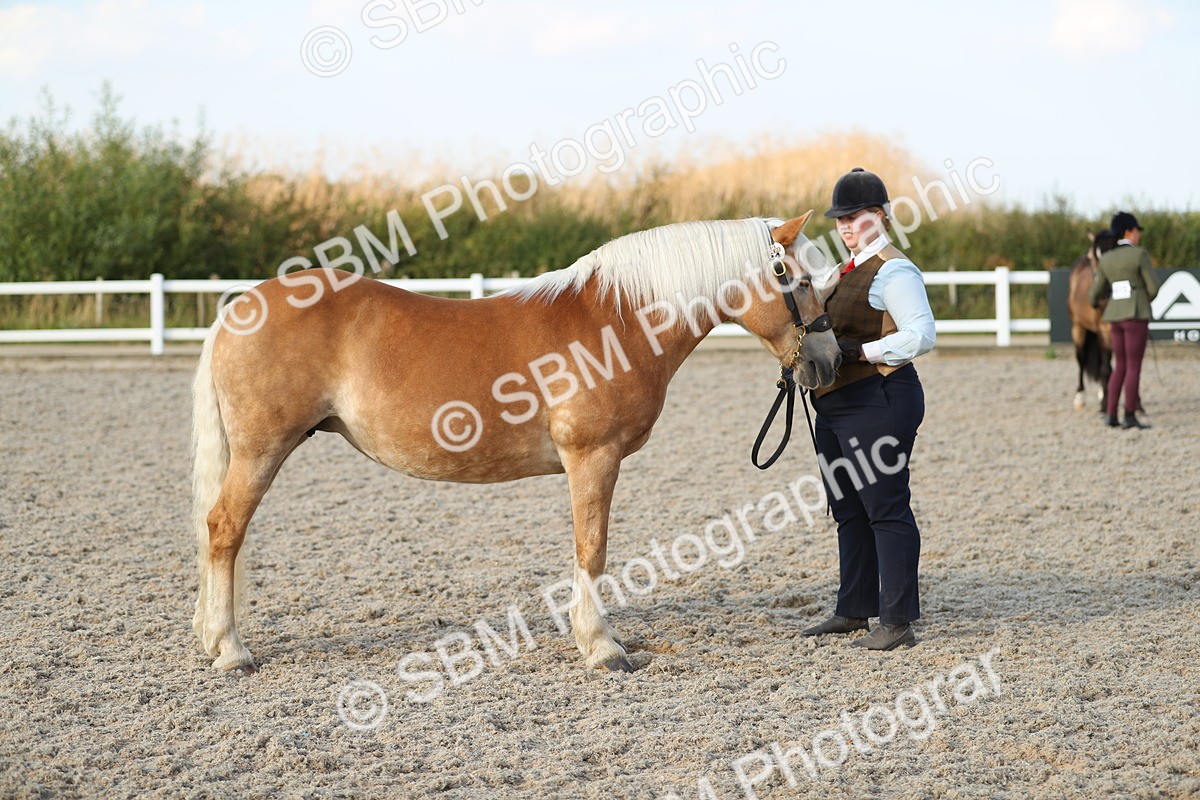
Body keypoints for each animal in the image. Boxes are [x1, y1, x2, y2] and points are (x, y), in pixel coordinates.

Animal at [191, 213, 842, 674]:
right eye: (803, 281)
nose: (830, 361)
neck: (617, 322)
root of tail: (237, 310)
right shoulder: (593, 457)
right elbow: (592, 549)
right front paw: (602, 647)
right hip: (261, 451)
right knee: (224, 530)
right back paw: (231, 650)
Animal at [1067, 230, 1116, 410]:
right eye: (1094, 258)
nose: (1102, 293)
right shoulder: (1103, 330)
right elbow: (1105, 367)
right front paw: (1105, 405)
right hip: (1078, 328)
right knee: (1081, 359)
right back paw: (1080, 397)